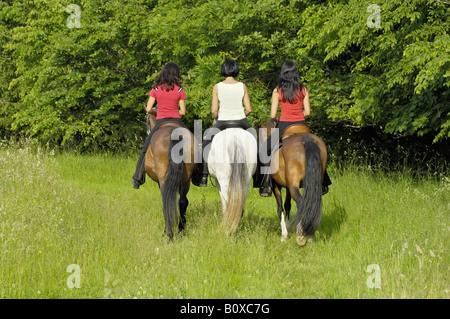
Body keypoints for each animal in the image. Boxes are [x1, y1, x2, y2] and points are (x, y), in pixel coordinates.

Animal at [146, 112, 199, 240]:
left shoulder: (160, 182)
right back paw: (180, 231)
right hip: (185, 180)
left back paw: (169, 234)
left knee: (167, 201)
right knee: (183, 202)